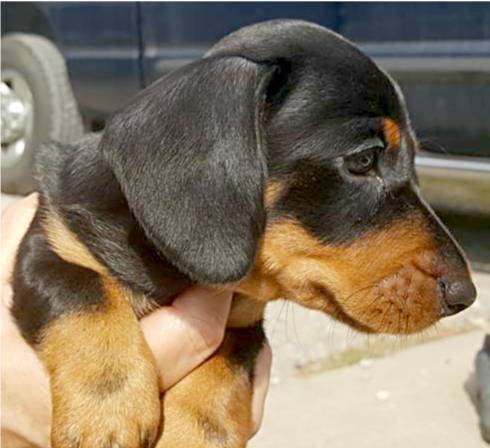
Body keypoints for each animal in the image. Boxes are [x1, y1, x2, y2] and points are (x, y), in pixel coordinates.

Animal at [11, 20, 476, 448]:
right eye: (363, 159)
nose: (465, 295)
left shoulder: (245, 324)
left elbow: (227, 363)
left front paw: (195, 433)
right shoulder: (48, 245)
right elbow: (80, 292)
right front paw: (107, 410)